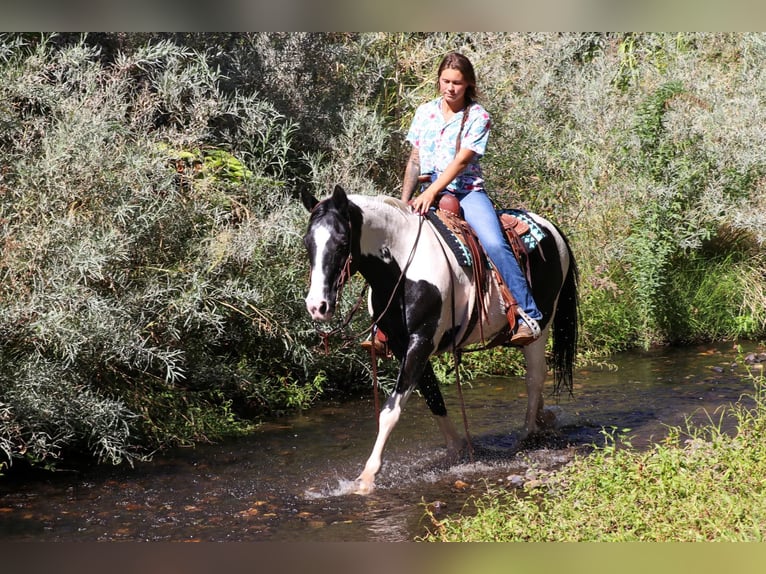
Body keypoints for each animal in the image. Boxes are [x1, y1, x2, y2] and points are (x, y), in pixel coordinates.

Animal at [304, 184, 580, 496]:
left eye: (341, 242)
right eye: (307, 244)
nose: (317, 306)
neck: (403, 266)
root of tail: (551, 228)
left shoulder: (421, 341)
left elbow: (391, 411)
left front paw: (366, 478)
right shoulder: (403, 345)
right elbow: (433, 397)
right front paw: (457, 449)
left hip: (541, 328)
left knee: (534, 378)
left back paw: (527, 433)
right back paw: (544, 418)